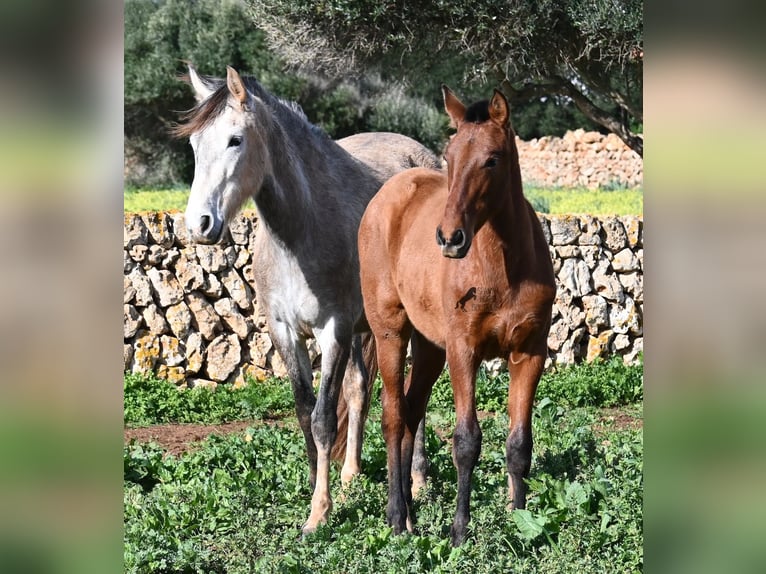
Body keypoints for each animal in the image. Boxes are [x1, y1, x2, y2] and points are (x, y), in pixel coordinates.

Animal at [172, 66, 438, 536]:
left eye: (235, 140)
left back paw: (420, 481)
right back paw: (351, 478)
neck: (300, 230)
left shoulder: (333, 331)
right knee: (360, 388)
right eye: (194, 144)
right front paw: (321, 490)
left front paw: (319, 513)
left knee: (414, 399)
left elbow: (323, 420)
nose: (199, 224)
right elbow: (304, 412)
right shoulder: (285, 332)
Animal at [360, 88, 560, 548]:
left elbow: (519, 443)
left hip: (430, 348)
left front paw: (520, 521)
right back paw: (395, 518)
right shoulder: (464, 351)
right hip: (391, 333)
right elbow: (466, 441)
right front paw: (459, 531)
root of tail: (385, 195)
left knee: (412, 412)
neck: (504, 268)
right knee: (393, 416)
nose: (449, 238)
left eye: (493, 159)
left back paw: (411, 516)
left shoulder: (529, 353)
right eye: (449, 157)